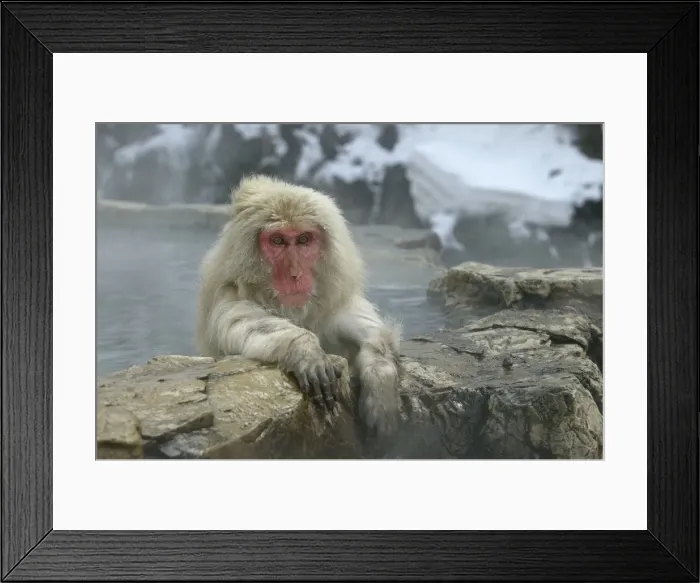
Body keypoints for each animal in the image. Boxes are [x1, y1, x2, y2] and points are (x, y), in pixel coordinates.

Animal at [195, 174, 403, 440]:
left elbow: (372, 332)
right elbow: (242, 324)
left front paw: (380, 381)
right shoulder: (228, 299)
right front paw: (305, 349)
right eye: (277, 241)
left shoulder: (331, 305)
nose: (295, 274)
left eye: (304, 239)